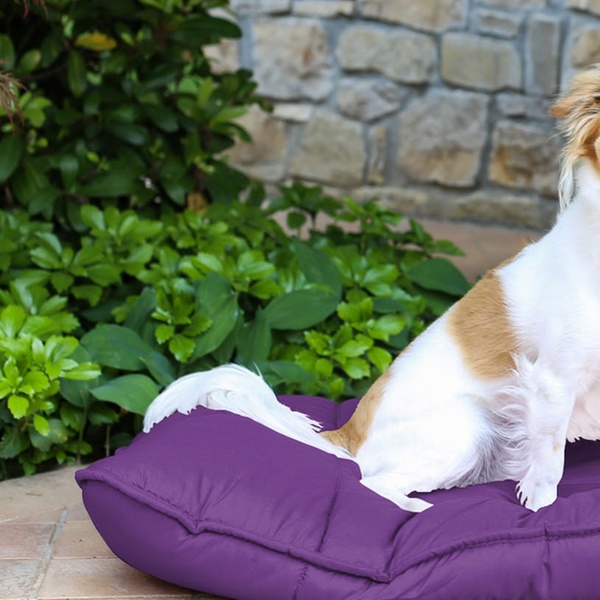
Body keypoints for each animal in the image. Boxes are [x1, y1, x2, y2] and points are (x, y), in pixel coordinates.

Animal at [144, 66, 600, 513]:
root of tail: (350, 435)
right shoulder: (553, 381)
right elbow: (548, 464)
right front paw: (540, 507)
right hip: (467, 429)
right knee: (372, 483)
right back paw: (416, 509)